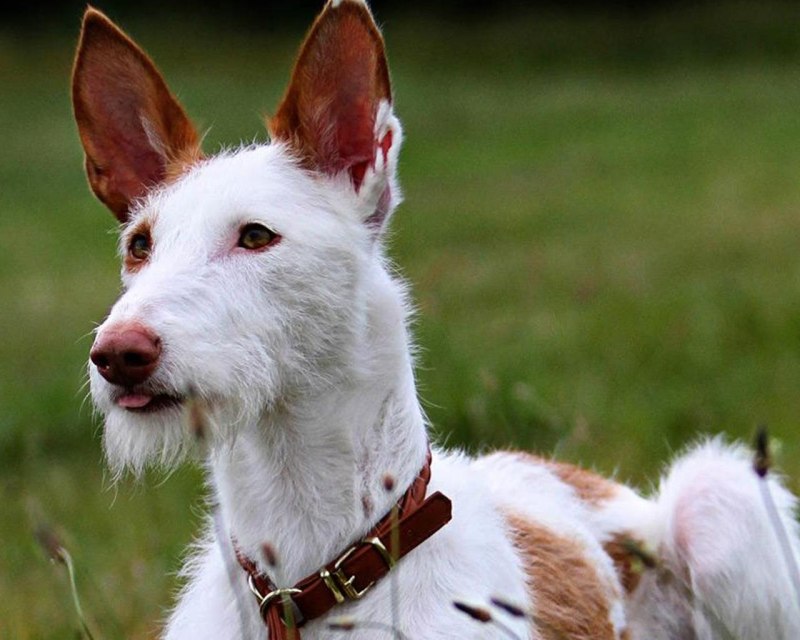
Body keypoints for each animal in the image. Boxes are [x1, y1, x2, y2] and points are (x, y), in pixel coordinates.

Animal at [72, 2, 800, 638]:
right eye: (140, 244)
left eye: (256, 236)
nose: (118, 353)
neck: (311, 580)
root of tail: (594, 482)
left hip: (721, 501)